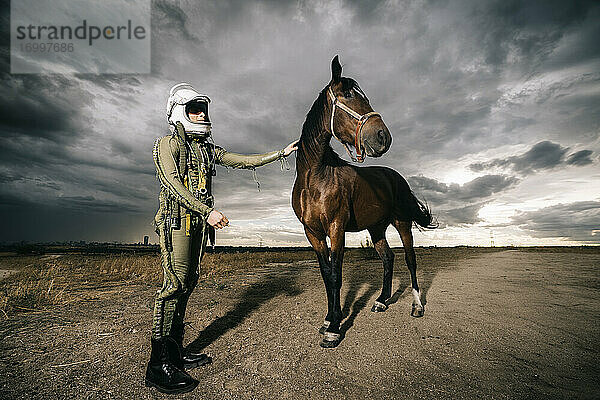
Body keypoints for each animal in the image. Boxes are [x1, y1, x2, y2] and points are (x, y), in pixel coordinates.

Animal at [292, 56, 436, 346]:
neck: (315, 178)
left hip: (402, 223)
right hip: (376, 227)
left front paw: (335, 328)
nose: (383, 137)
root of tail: (396, 177)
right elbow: (326, 275)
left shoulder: (336, 228)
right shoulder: (312, 232)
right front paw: (328, 319)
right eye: (348, 95)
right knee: (388, 258)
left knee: (410, 260)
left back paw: (417, 306)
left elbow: (336, 275)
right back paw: (381, 301)